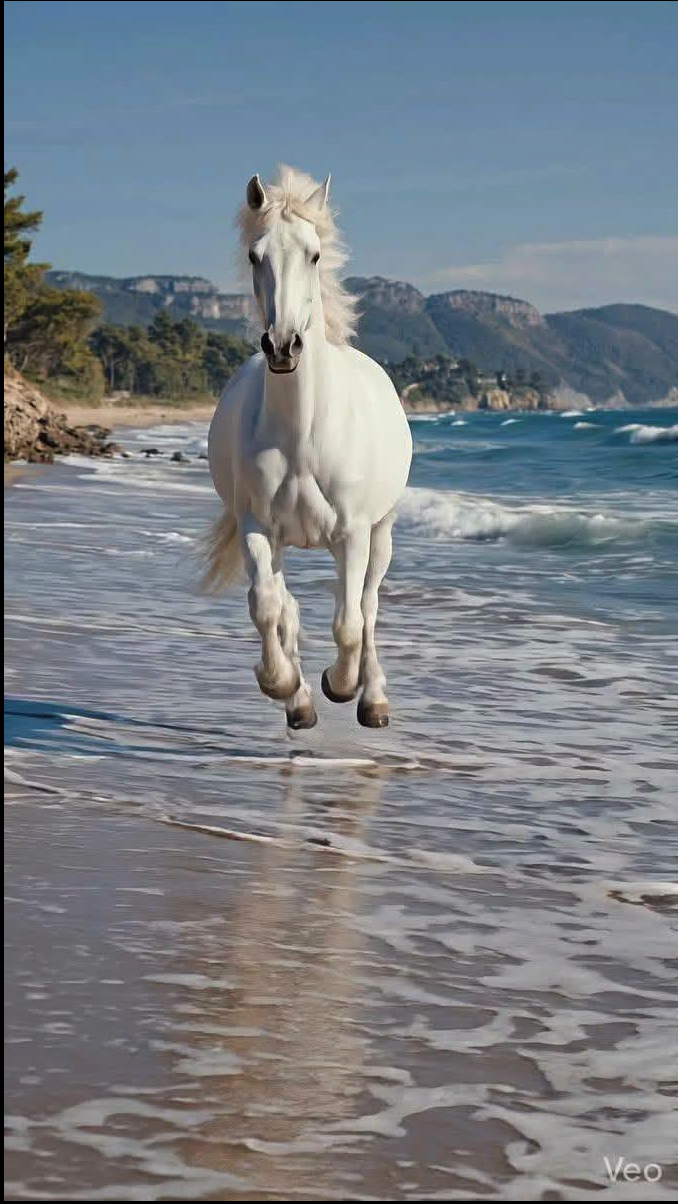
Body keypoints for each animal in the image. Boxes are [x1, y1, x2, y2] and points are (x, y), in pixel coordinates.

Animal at [204, 165, 412, 731]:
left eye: (315, 254)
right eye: (255, 255)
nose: (282, 346)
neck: (303, 433)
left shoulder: (354, 533)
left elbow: (350, 622)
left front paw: (340, 686)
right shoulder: (257, 526)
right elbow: (267, 607)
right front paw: (283, 685)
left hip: (380, 534)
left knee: (368, 606)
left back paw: (372, 699)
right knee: (288, 602)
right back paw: (298, 701)